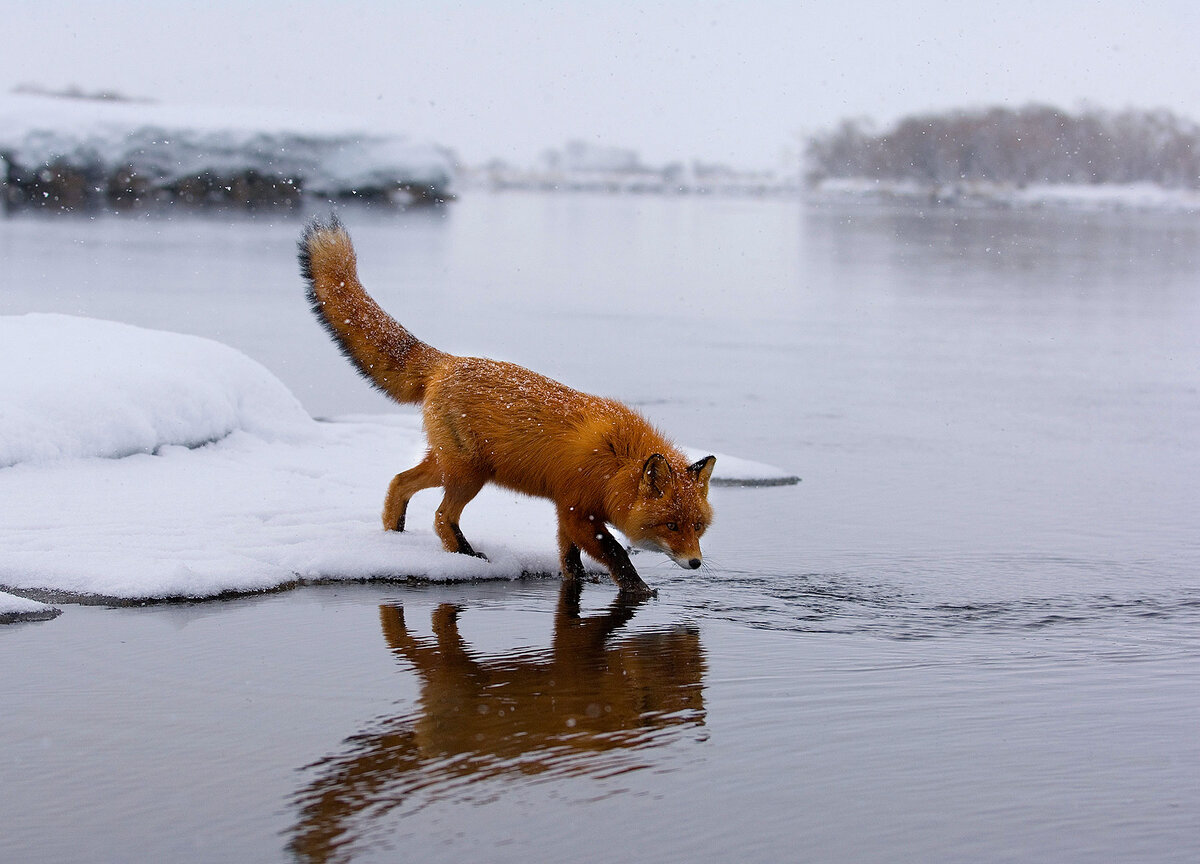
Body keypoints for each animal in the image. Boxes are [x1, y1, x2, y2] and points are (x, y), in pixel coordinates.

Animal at [298, 214, 710, 595]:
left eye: (698, 526)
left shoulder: (566, 510)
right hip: (468, 474)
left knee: (400, 482)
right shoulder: (578, 510)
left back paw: (394, 538)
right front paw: (639, 589)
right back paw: (465, 555)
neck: (615, 461)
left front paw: (579, 579)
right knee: (441, 516)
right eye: (671, 525)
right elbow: (615, 552)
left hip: (448, 465)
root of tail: (448, 361)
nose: (695, 562)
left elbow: (569, 559)